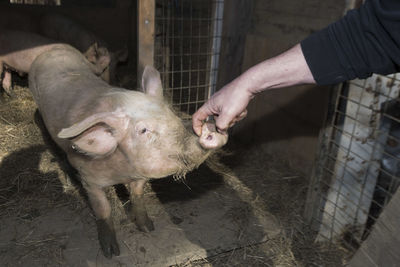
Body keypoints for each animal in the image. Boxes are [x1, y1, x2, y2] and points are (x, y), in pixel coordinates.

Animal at [28, 45, 228, 260]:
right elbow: (103, 209)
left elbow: (138, 196)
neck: (121, 172)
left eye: (172, 115)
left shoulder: (139, 176)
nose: (209, 128)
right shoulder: (89, 180)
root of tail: (53, 48)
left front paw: (148, 227)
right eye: (143, 130)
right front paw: (110, 252)